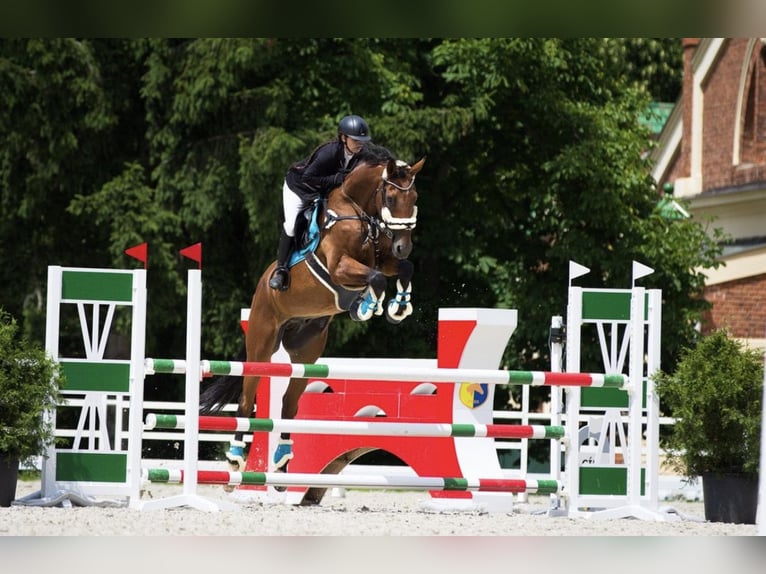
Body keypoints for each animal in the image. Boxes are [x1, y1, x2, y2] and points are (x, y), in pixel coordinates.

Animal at [200, 145, 426, 482]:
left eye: (414, 198)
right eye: (389, 197)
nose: (403, 245)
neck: (357, 211)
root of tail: (259, 291)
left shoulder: (384, 259)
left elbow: (400, 270)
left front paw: (398, 306)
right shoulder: (339, 267)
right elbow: (375, 278)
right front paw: (367, 306)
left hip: (306, 353)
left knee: (288, 405)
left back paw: (282, 462)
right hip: (262, 344)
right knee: (246, 399)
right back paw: (235, 460)